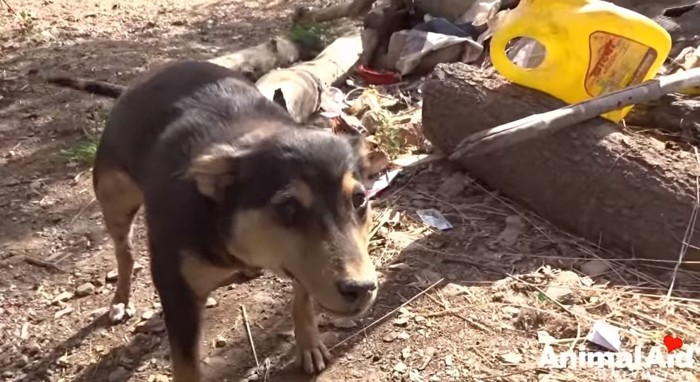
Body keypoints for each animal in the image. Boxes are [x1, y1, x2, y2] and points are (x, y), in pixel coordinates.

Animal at [45, 60, 378, 382]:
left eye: (359, 199)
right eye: (288, 207)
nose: (362, 288)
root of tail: (134, 86)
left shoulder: (300, 268)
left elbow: (302, 299)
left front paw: (309, 345)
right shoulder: (177, 290)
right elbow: (187, 367)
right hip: (114, 197)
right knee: (124, 252)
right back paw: (121, 300)